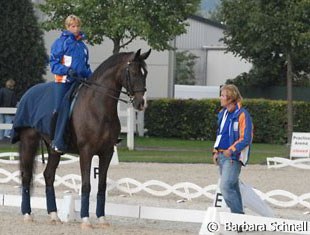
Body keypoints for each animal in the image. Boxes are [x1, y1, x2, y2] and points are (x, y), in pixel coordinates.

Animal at [13, 49, 151, 228]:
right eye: (133, 72)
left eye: (145, 73)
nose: (141, 103)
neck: (99, 107)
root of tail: (28, 93)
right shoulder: (86, 152)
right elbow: (86, 185)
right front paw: (85, 220)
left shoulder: (107, 153)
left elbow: (101, 185)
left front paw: (102, 218)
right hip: (28, 141)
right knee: (26, 176)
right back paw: (27, 214)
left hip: (53, 149)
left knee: (48, 175)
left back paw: (54, 215)